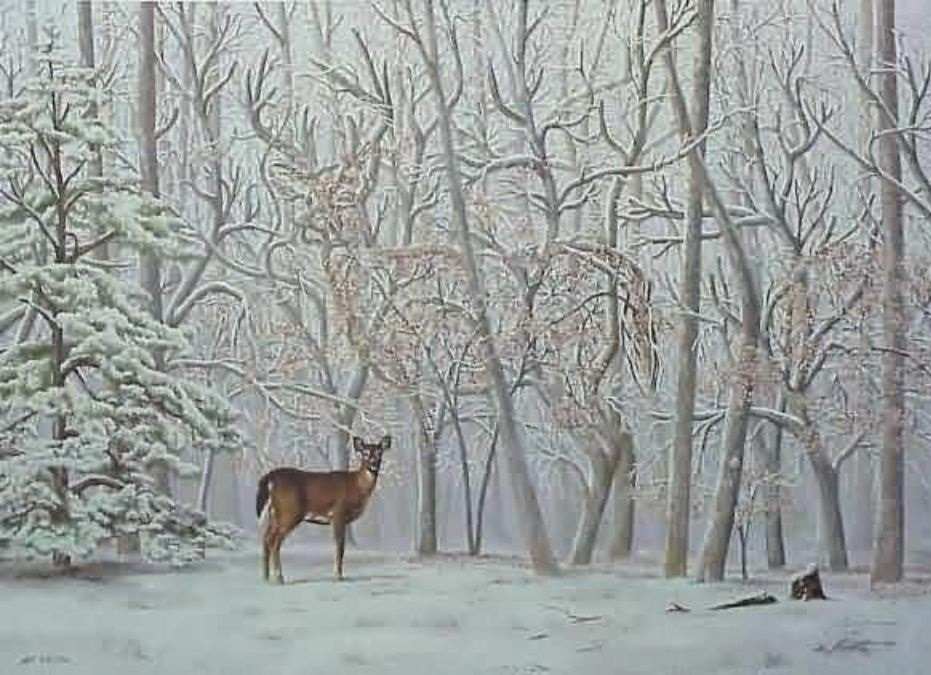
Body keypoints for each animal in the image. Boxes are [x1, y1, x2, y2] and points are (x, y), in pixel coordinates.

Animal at [255, 435, 390, 584]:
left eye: (379, 452)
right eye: (365, 453)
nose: (373, 465)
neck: (357, 486)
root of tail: (270, 478)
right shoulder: (338, 512)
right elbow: (340, 546)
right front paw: (338, 575)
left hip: (274, 513)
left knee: (266, 538)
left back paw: (266, 577)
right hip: (289, 511)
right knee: (275, 541)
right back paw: (279, 577)